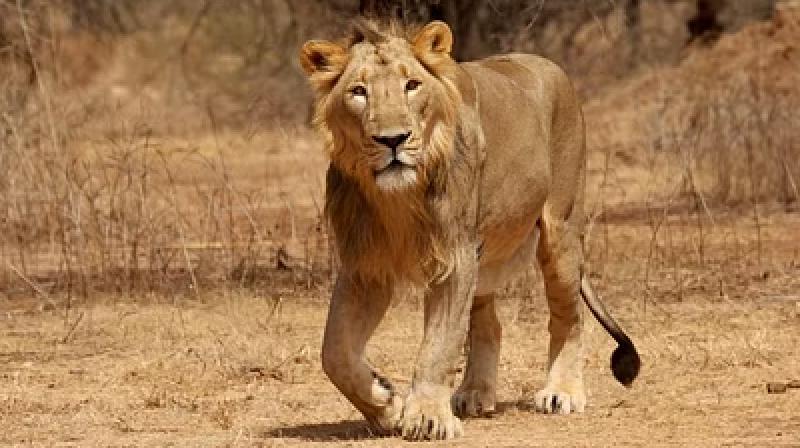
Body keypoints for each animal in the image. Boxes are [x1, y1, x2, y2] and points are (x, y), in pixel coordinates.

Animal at [299, 20, 640, 441]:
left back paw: (562, 392)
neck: (397, 198)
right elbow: (334, 353)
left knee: (568, 316)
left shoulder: (454, 257)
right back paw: (474, 393)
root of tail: (548, 65)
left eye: (412, 85)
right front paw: (385, 404)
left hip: (560, 231)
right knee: (489, 324)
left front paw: (427, 417)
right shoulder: (365, 266)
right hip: (486, 256)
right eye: (358, 92)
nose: (392, 140)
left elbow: (438, 346)